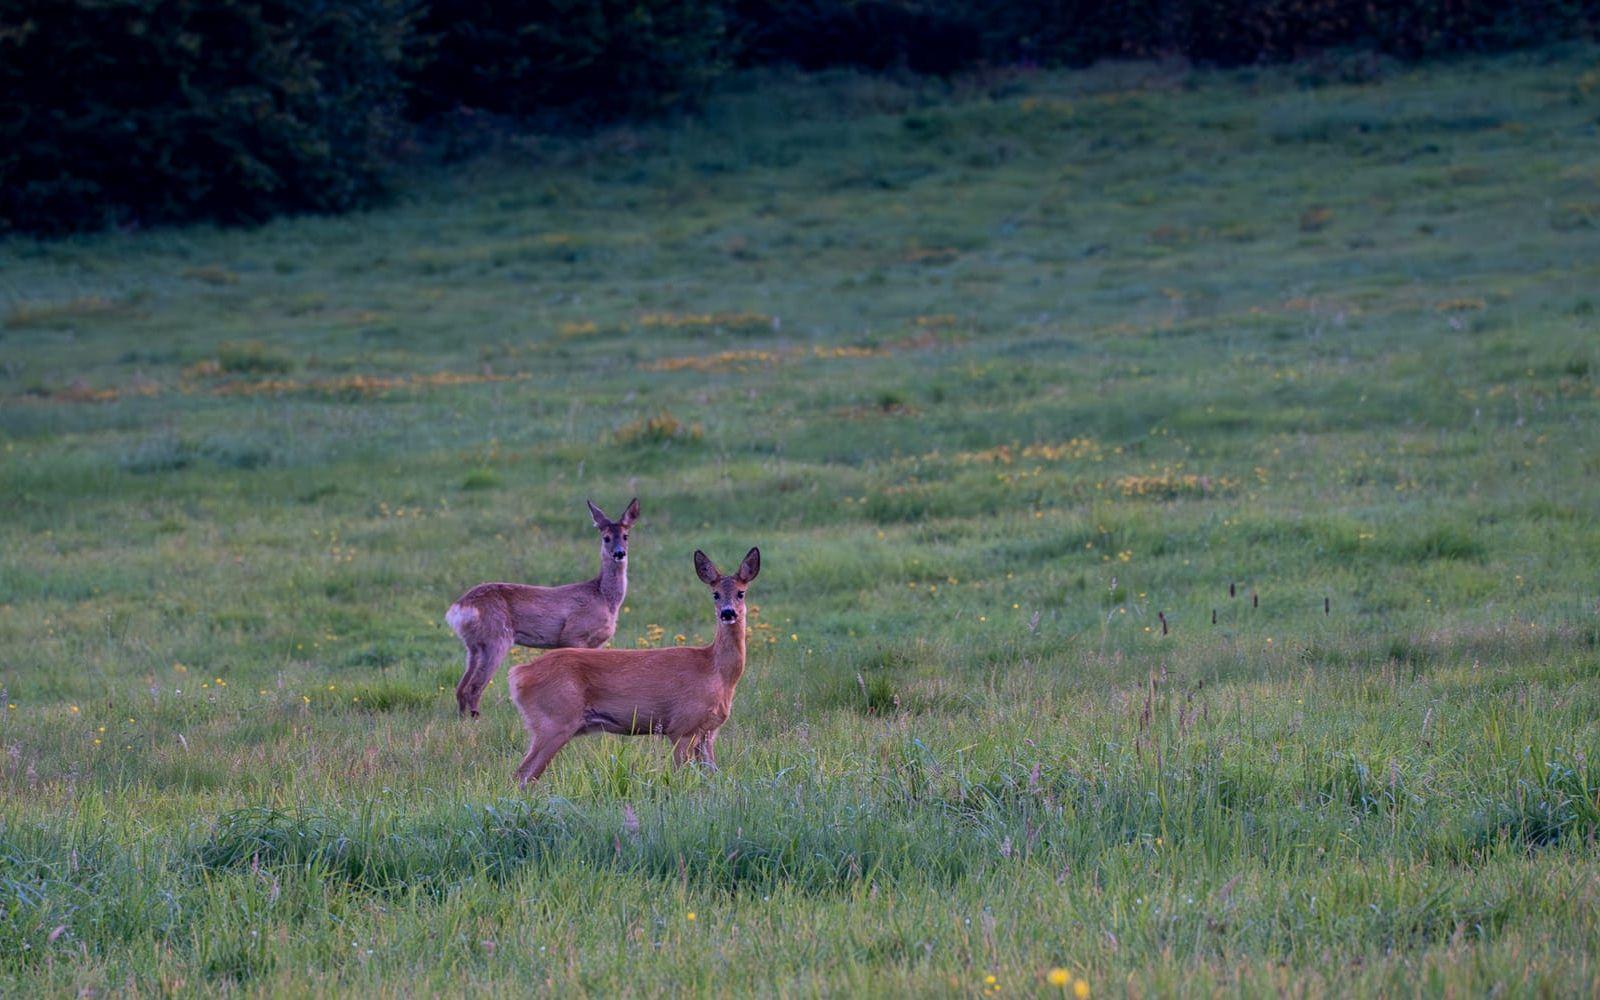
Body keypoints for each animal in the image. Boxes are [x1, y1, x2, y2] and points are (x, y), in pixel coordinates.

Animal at [444, 496, 636, 713]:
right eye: (606, 538)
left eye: (626, 536)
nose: (619, 553)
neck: (603, 597)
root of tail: (459, 608)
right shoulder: (573, 634)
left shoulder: (597, 643)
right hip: (496, 637)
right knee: (473, 688)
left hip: (473, 645)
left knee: (461, 688)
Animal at [512, 547, 761, 787]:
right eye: (715, 594)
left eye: (741, 593)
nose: (728, 613)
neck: (716, 671)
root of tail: (518, 674)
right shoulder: (681, 726)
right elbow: (680, 776)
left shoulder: (708, 731)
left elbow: (712, 776)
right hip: (554, 720)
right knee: (522, 774)